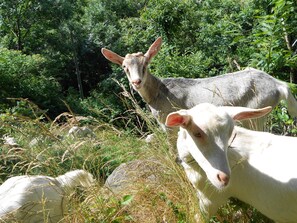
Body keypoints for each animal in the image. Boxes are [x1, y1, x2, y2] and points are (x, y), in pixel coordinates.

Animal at [101, 36, 296, 131]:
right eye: (125, 67)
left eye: (145, 64)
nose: (136, 81)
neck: (159, 93)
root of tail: (280, 85)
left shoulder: (169, 122)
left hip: (257, 112)